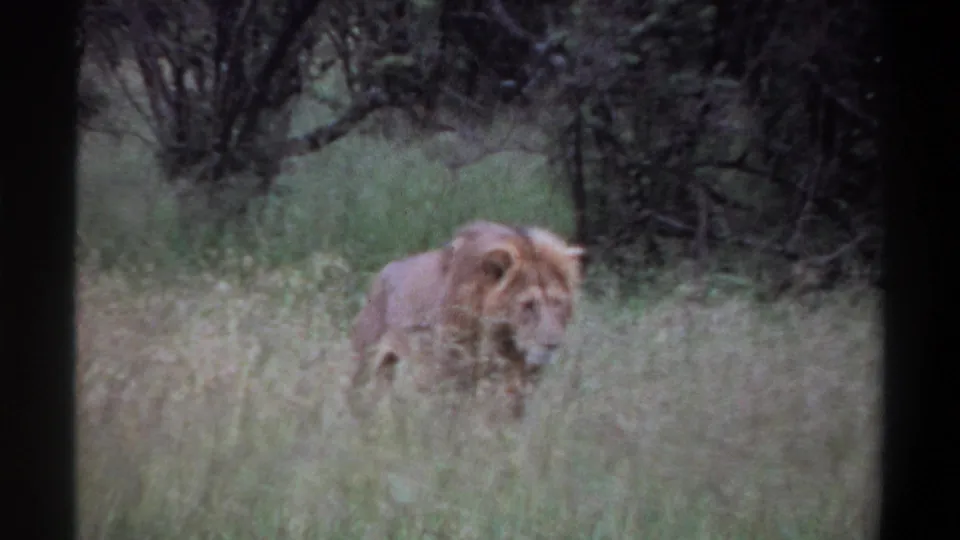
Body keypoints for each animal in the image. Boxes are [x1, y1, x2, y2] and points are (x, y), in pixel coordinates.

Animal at [345, 220, 585, 419]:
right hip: (364, 363)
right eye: (528, 305)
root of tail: (380, 276)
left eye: (558, 302)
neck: (503, 341)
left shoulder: (519, 382)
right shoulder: (450, 372)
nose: (552, 344)